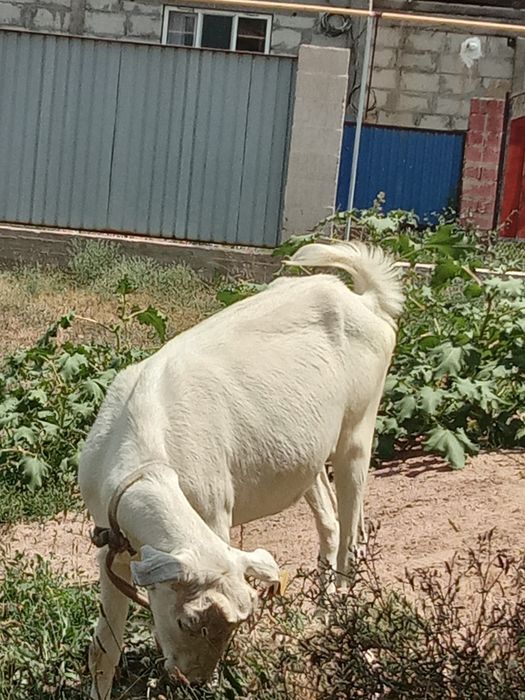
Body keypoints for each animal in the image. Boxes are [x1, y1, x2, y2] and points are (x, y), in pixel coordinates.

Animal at [78, 241, 404, 699]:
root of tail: (365, 301)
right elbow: (104, 648)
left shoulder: (215, 512)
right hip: (308, 453)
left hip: (359, 427)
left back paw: (341, 611)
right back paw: (320, 612)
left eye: (232, 626)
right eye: (187, 621)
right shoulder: (114, 541)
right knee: (329, 518)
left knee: (351, 528)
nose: (192, 678)